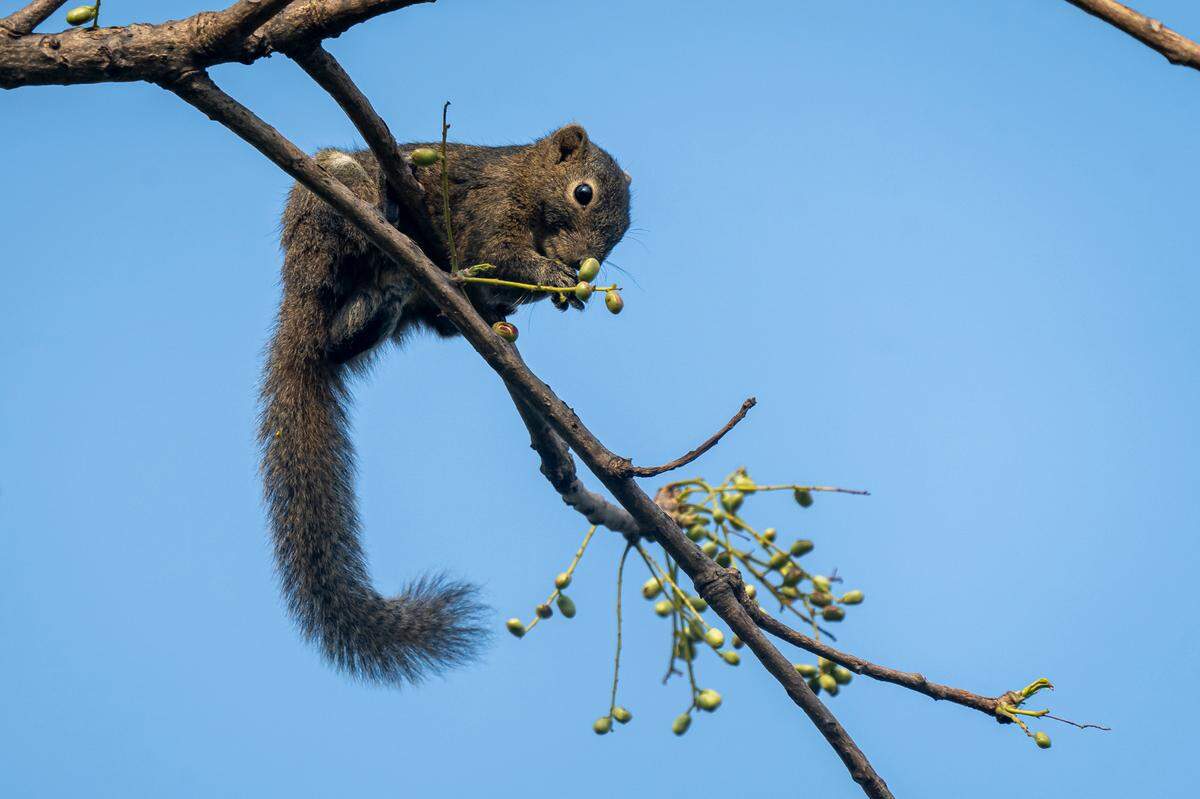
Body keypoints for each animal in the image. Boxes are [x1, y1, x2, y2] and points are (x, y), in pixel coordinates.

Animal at [260, 124, 632, 685]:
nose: (578, 262)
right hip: (323, 215)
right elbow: (506, 256)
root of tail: (296, 307)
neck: (525, 181)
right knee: (347, 206)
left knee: (348, 336)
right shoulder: (492, 213)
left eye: (625, 228)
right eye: (582, 193)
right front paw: (556, 278)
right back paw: (383, 206)